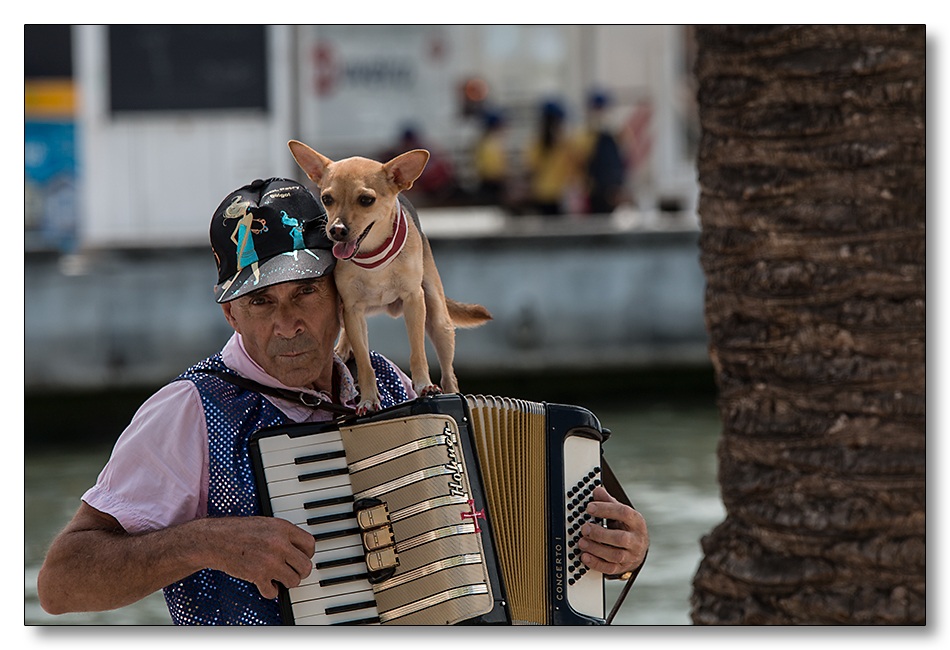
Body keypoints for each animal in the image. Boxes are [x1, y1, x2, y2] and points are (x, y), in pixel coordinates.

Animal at [288, 141, 494, 412]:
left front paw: (423, 385)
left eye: (366, 200)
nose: (336, 230)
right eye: (327, 199)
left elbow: (418, 352)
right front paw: (368, 399)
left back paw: (451, 393)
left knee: (449, 373)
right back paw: (343, 347)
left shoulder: (414, 300)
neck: (372, 255)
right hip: (347, 311)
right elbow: (364, 363)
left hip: (439, 320)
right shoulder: (352, 309)